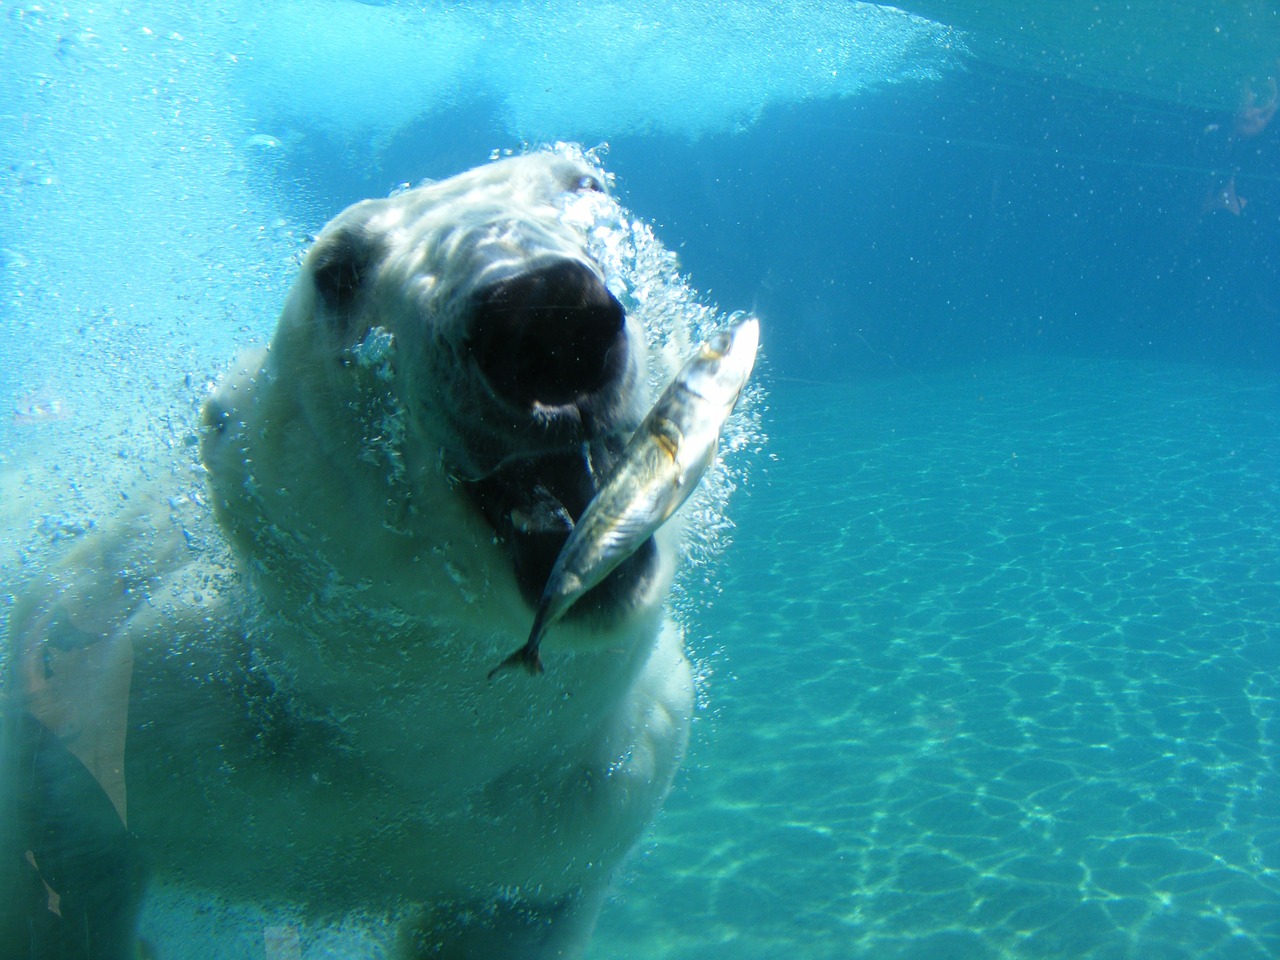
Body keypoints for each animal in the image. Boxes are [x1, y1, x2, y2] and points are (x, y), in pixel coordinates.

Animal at [2, 152, 747, 960]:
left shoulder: (582, 799)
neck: (404, 748)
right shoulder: (146, 695)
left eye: (585, 184)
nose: (546, 313)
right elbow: (62, 851)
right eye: (336, 270)